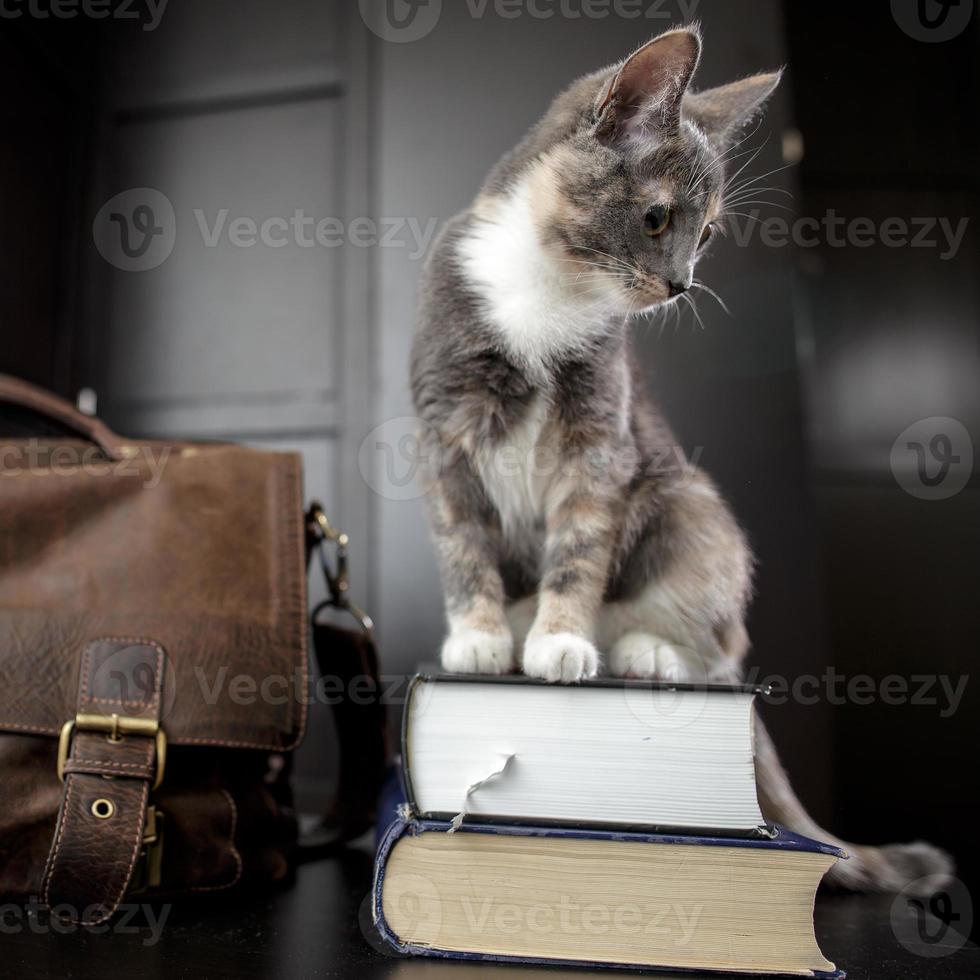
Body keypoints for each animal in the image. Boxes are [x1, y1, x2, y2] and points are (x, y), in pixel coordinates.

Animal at [410, 24, 952, 896]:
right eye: (659, 217)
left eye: (708, 234)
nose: (680, 285)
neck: (546, 292)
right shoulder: (443, 428)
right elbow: (462, 540)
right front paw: (480, 634)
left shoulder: (603, 436)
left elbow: (582, 540)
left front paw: (562, 639)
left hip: (689, 502)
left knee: (718, 640)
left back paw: (642, 650)